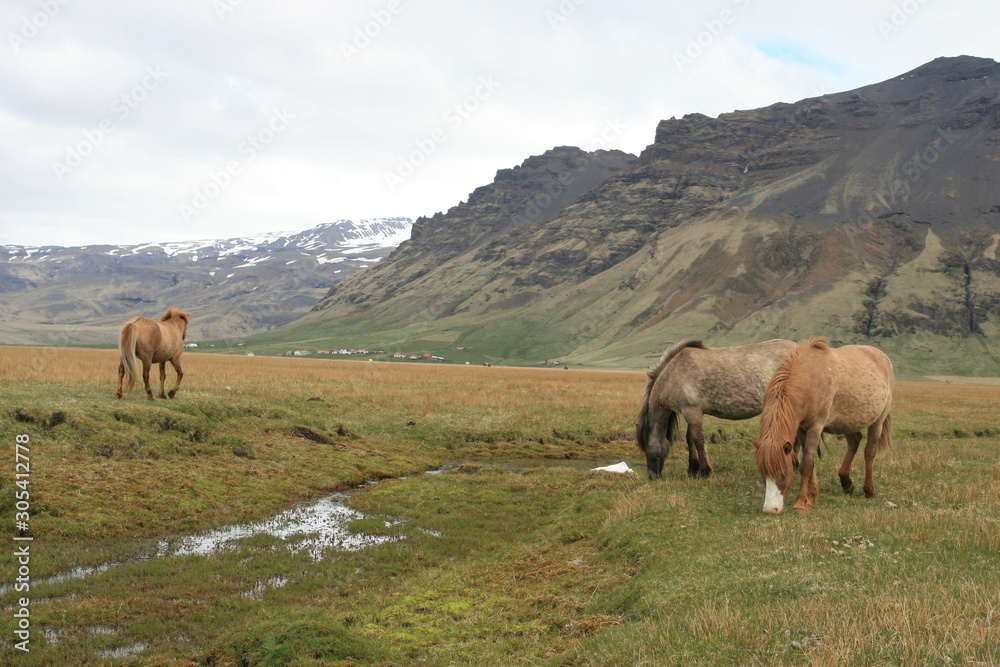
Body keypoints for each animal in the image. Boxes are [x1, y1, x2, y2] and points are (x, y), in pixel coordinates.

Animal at [632, 340, 796, 480]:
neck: (672, 375)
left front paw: (705, 471)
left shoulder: (691, 411)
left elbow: (698, 440)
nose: (651, 476)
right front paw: (693, 470)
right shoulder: (695, 412)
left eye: (646, 447)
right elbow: (690, 439)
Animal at [752, 340, 896, 516]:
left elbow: (806, 464)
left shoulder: (815, 427)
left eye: (784, 473)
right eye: (763, 474)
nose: (770, 510)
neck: (808, 381)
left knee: (869, 452)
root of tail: (881, 355)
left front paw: (800, 503)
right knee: (855, 441)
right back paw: (846, 482)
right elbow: (810, 462)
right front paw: (811, 499)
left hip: (878, 420)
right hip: (847, 422)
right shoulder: (802, 429)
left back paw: (869, 491)